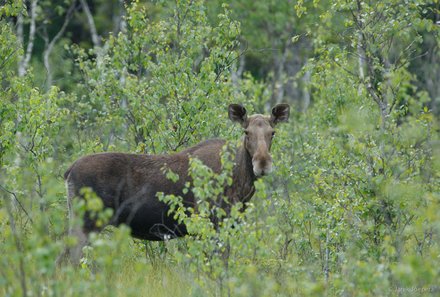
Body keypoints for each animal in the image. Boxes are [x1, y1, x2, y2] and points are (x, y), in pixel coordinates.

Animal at [62, 103, 288, 262]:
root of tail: (68, 171)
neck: (241, 185)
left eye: (272, 133)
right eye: (246, 132)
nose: (263, 164)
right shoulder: (209, 222)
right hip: (86, 221)